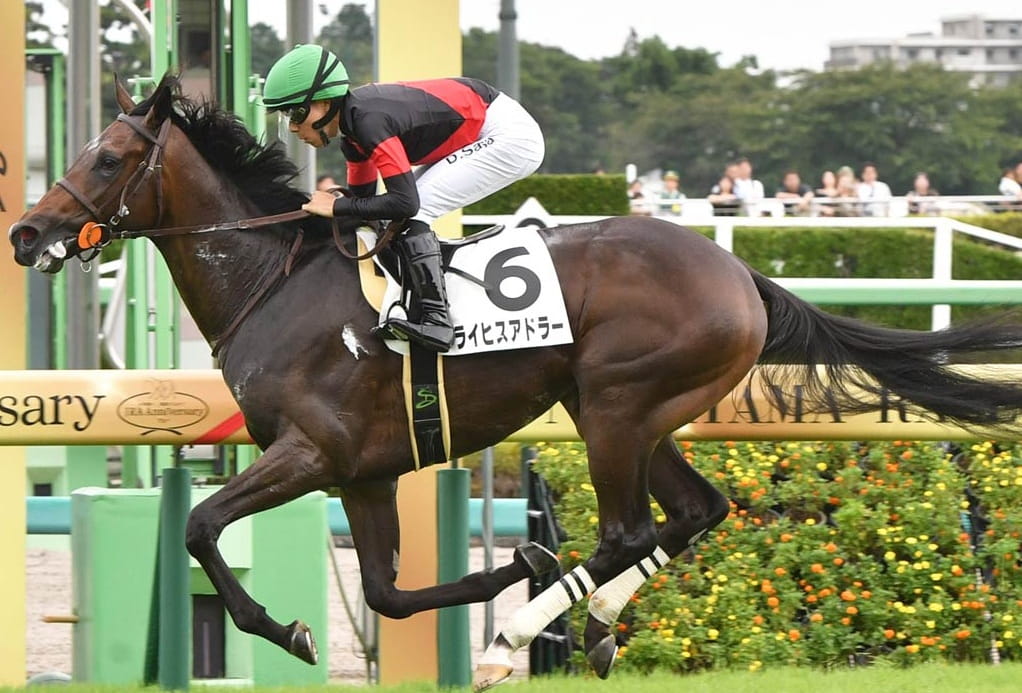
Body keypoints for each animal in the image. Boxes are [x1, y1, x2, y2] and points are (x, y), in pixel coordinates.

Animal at [11, 76, 1022, 690]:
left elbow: (201, 525)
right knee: (696, 511)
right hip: (635, 414)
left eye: (108, 158)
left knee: (626, 531)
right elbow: (387, 594)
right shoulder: (365, 472)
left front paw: (290, 629)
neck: (276, 279)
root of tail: (741, 273)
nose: (26, 233)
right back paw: (592, 617)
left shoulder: (313, 452)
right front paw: (515, 562)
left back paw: (513, 640)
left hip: (615, 406)